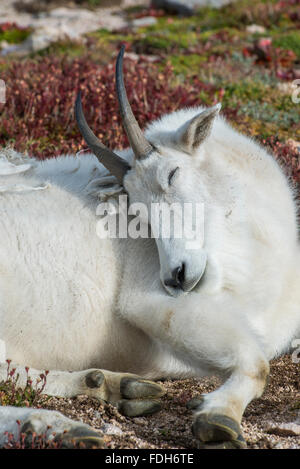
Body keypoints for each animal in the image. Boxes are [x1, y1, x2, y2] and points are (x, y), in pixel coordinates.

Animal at [0, 46, 300, 446]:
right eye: (135, 206)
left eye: (172, 174)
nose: (177, 275)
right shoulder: (149, 302)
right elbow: (257, 365)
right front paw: (217, 417)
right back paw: (59, 426)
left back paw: (111, 386)